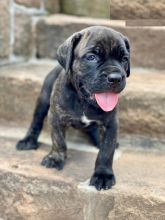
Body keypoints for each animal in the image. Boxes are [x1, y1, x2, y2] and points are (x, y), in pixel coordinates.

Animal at [16, 26, 130, 191]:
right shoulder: (55, 117)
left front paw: (103, 174)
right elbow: (58, 140)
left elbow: (106, 151)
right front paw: (56, 158)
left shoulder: (111, 124)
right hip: (43, 100)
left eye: (124, 59)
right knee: (36, 121)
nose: (115, 78)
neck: (83, 100)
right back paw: (28, 140)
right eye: (91, 57)